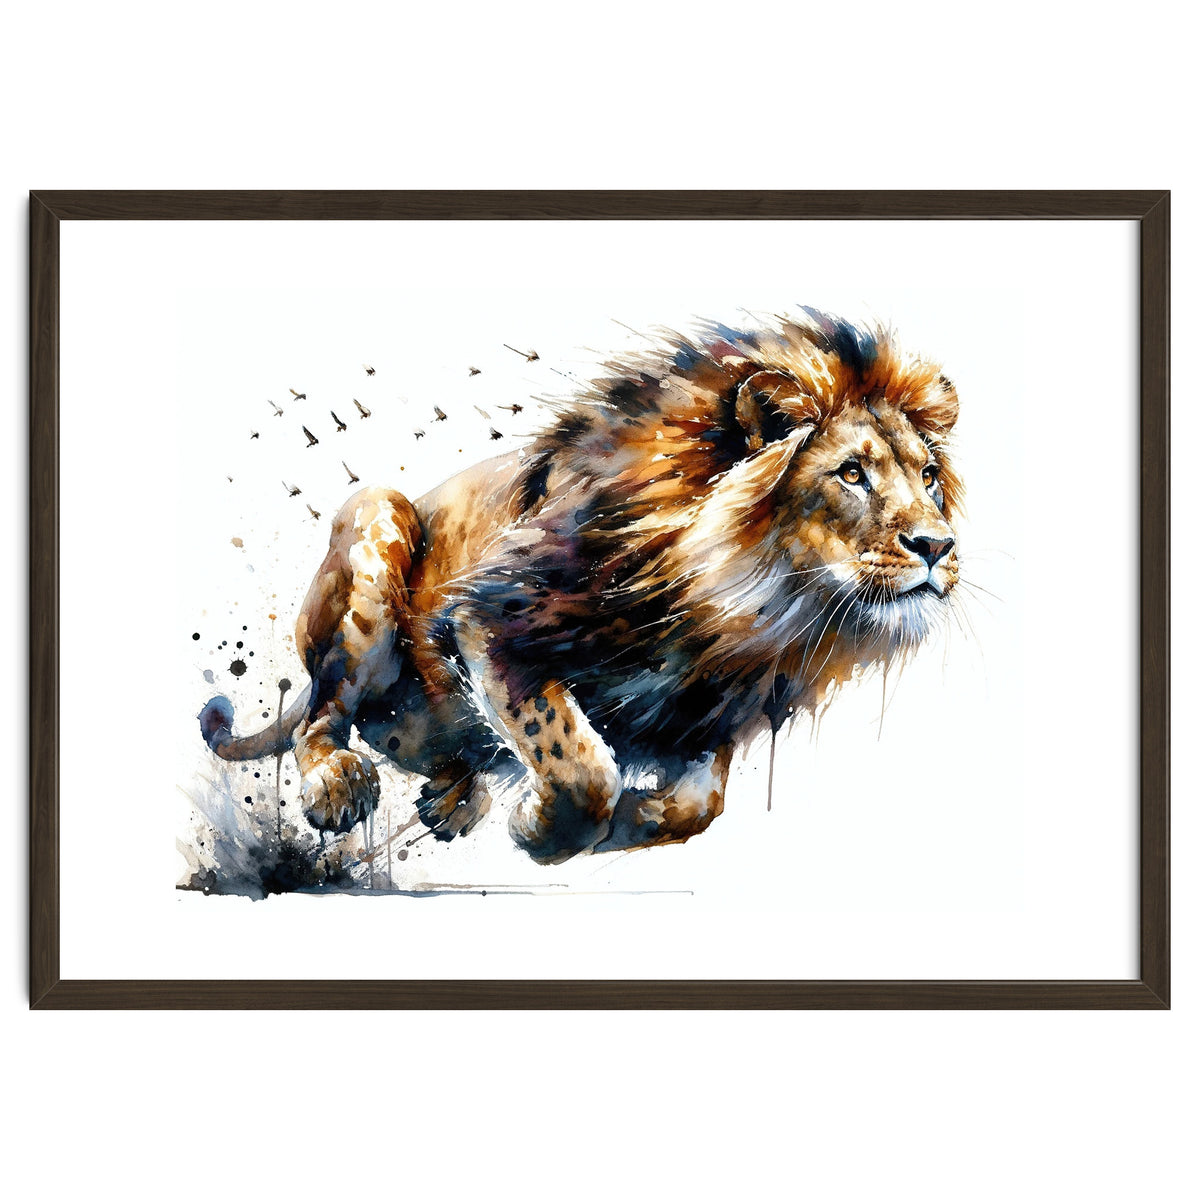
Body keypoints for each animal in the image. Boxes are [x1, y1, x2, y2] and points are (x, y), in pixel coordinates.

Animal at [200, 309, 962, 864]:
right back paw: (340, 785)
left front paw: (635, 817)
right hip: (376, 516)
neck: (745, 609)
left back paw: (452, 798)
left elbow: (701, 805)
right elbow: (577, 761)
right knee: (324, 717)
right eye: (851, 473)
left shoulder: (705, 704)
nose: (938, 546)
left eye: (928, 476)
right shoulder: (489, 617)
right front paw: (543, 828)